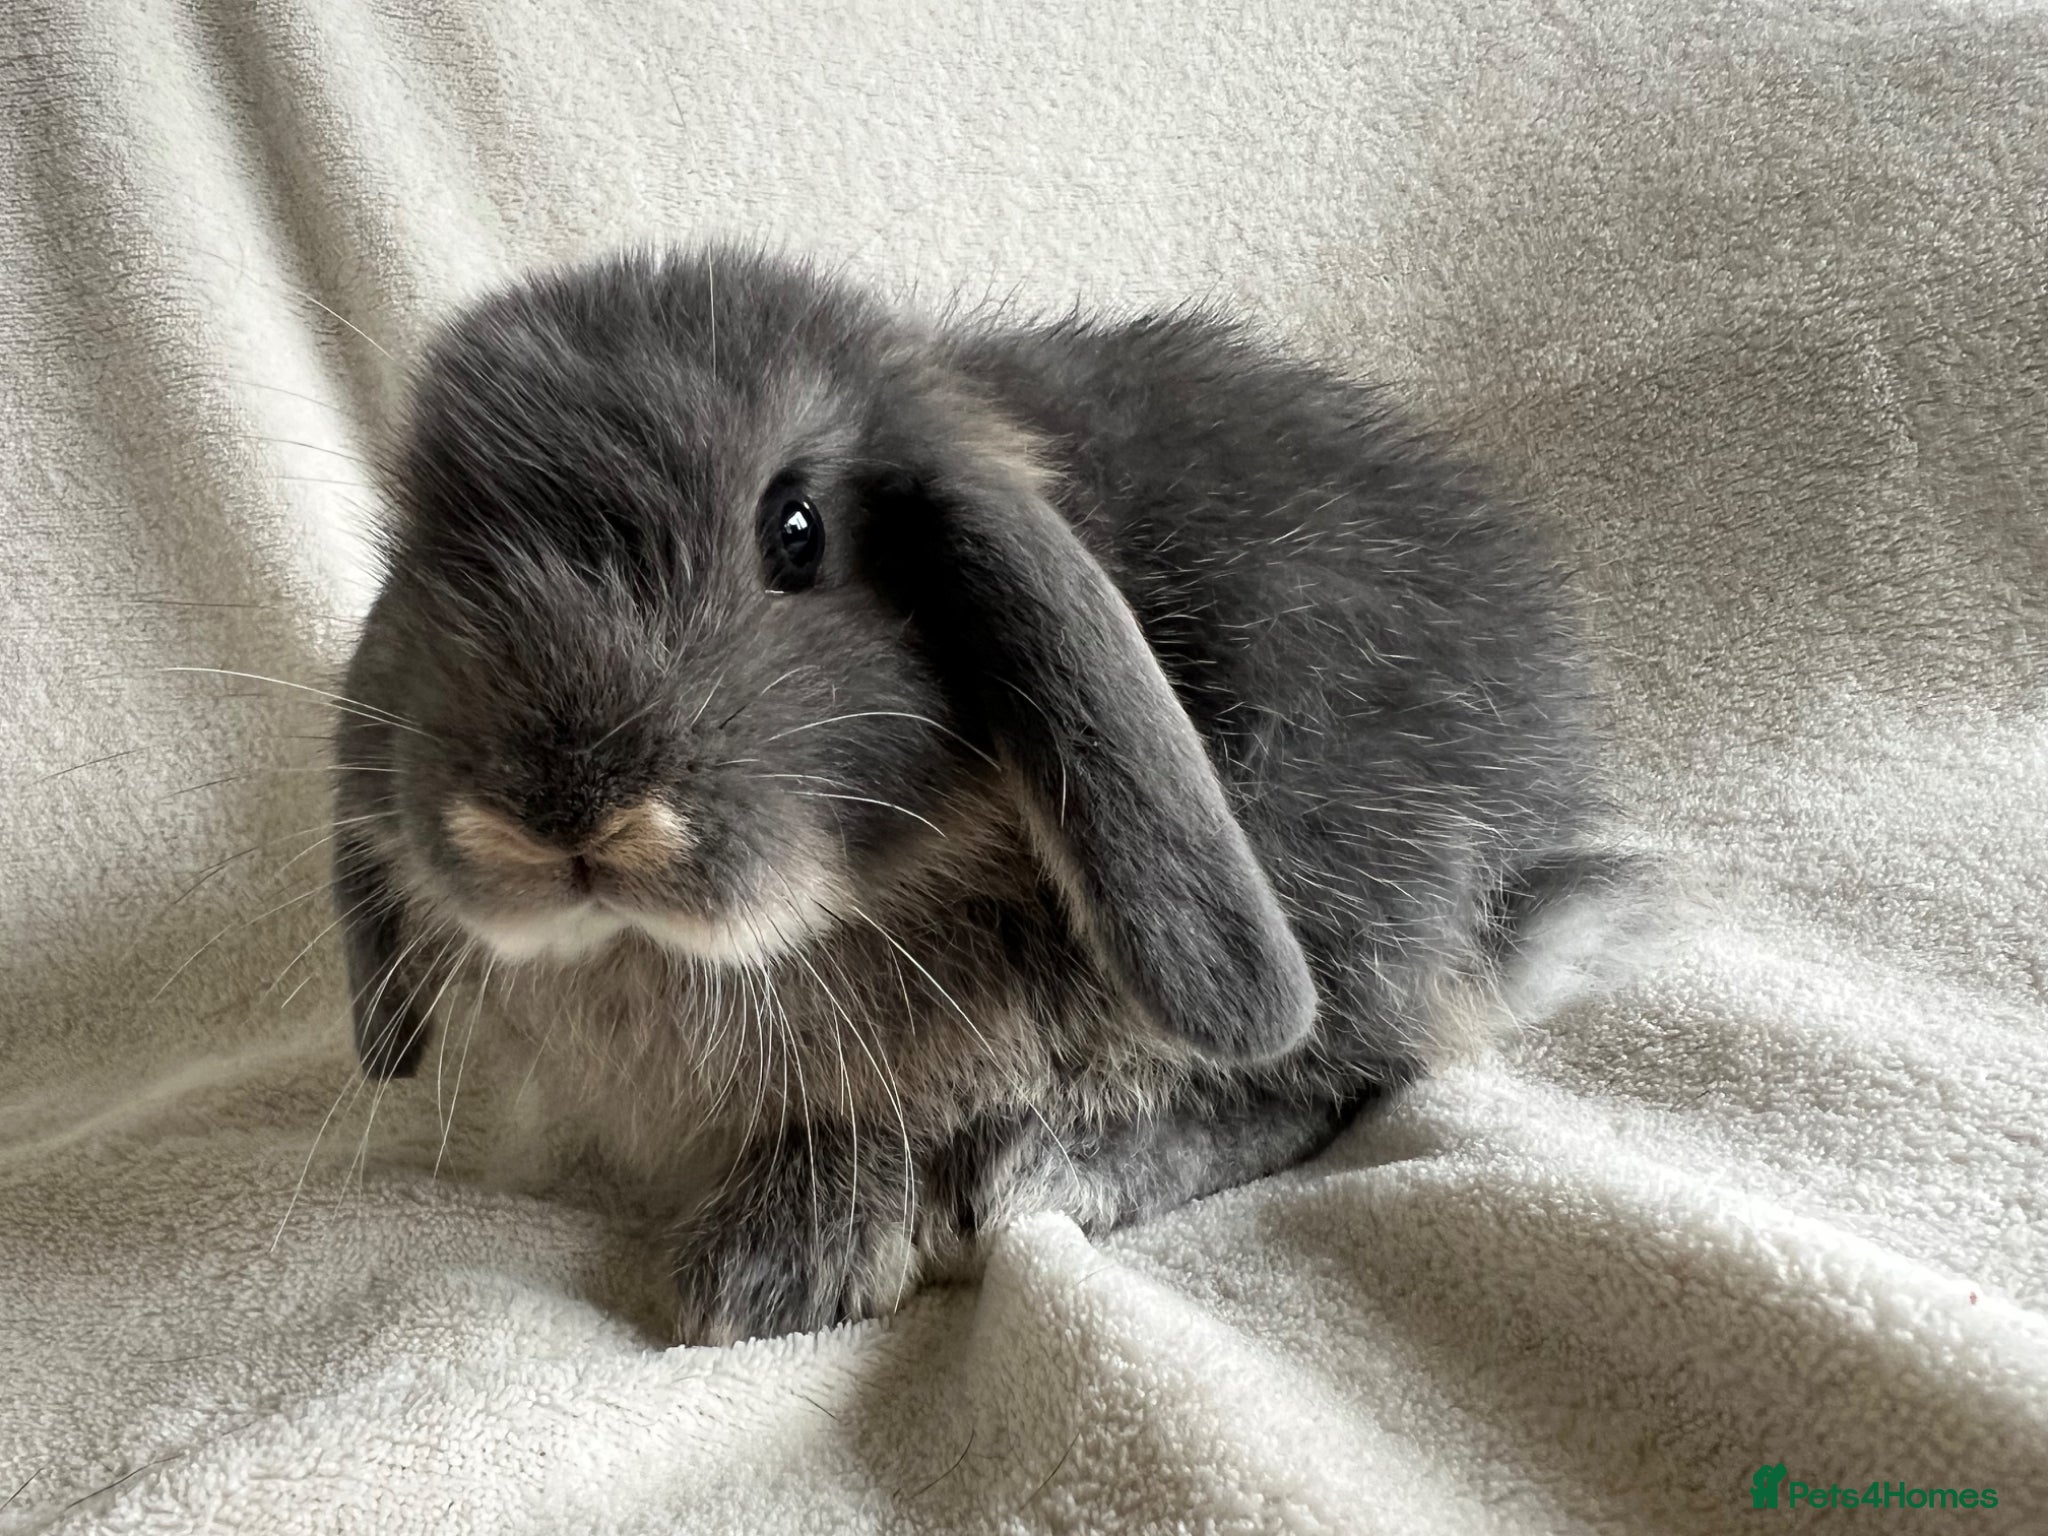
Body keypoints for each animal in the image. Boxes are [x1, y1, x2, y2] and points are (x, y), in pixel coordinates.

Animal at [331, 246, 1613, 1345]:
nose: (558, 819)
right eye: (429, 559)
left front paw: (772, 1271)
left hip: (1338, 891)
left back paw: (1067, 1169)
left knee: (1337, 1079)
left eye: (795, 533)